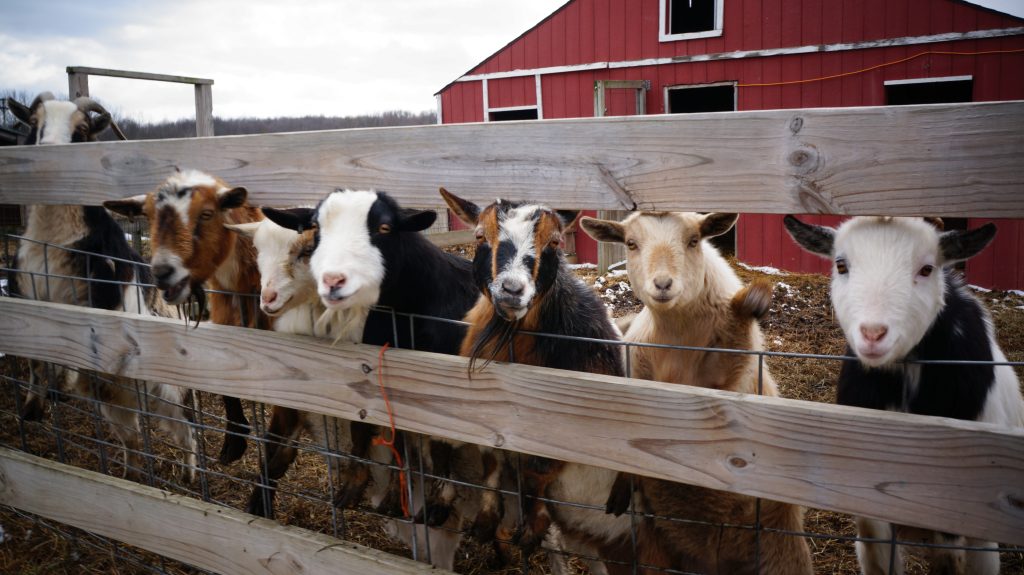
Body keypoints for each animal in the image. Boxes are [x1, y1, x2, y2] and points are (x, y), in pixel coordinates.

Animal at [8, 91, 197, 480]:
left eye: (80, 132)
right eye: (34, 125)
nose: (49, 154)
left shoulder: (96, 301)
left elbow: (80, 336)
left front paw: (59, 386)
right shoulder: (29, 301)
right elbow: (35, 359)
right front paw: (34, 405)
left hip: (170, 392)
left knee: (186, 433)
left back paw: (189, 475)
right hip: (114, 401)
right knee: (133, 438)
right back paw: (130, 474)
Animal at [440, 188, 630, 568]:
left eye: (555, 242)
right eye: (480, 236)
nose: (512, 289)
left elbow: (538, 470)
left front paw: (532, 528)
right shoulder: (487, 417)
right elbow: (492, 459)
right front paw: (487, 521)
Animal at [585, 211, 815, 572]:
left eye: (694, 240)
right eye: (631, 243)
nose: (663, 284)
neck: (678, 339)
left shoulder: (726, 381)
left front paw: (754, 300)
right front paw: (623, 482)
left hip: (781, 548)